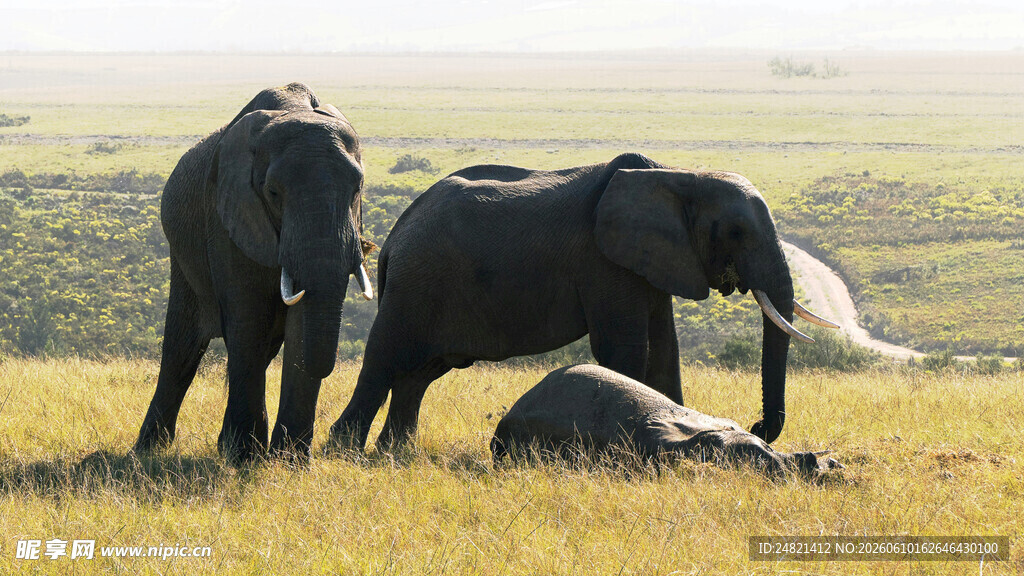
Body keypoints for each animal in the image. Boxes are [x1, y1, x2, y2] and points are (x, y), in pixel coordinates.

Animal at [134, 83, 373, 463]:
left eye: (357, 190)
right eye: (273, 193)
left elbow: (299, 326)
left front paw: (289, 462)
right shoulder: (227, 214)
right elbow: (248, 318)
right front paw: (244, 457)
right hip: (182, 251)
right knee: (182, 348)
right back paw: (150, 449)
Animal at [331, 153, 837, 452]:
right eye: (735, 232)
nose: (757, 425)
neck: (679, 176)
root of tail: (393, 238)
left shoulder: (653, 260)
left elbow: (665, 350)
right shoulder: (603, 261)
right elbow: (624, 349)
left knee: (419, 373)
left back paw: (395, 454)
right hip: (417, 282)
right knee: (385, 358)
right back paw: (345, 449)